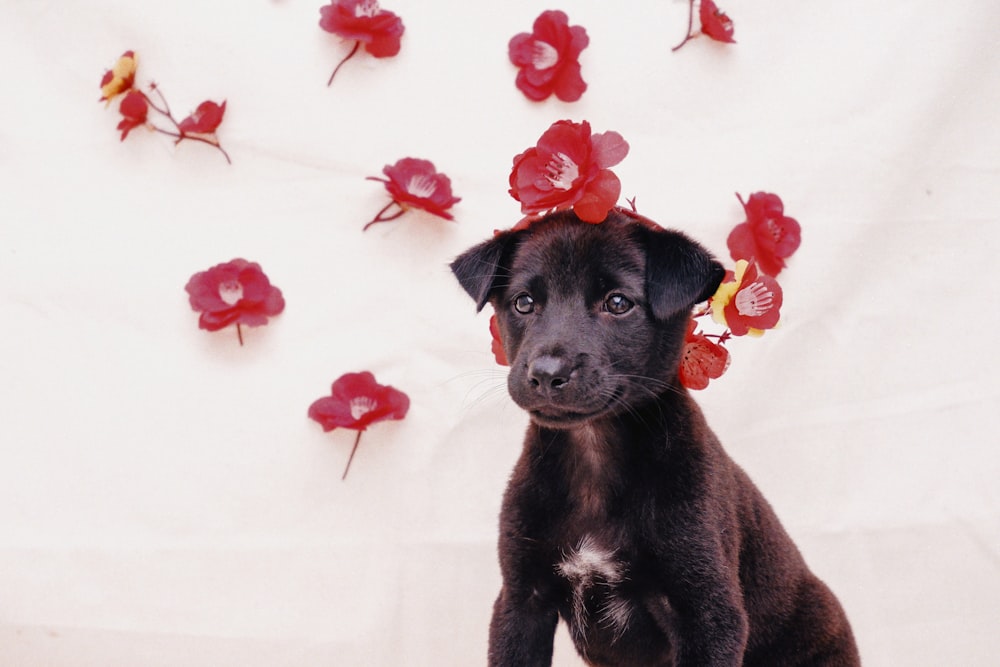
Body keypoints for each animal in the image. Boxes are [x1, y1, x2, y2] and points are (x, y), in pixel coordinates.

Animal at [454, 210, 860, 667]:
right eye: (523, 302)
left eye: (617, 303)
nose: (545, 373)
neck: (593, 452)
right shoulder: (522, 601)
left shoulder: (708, 615)